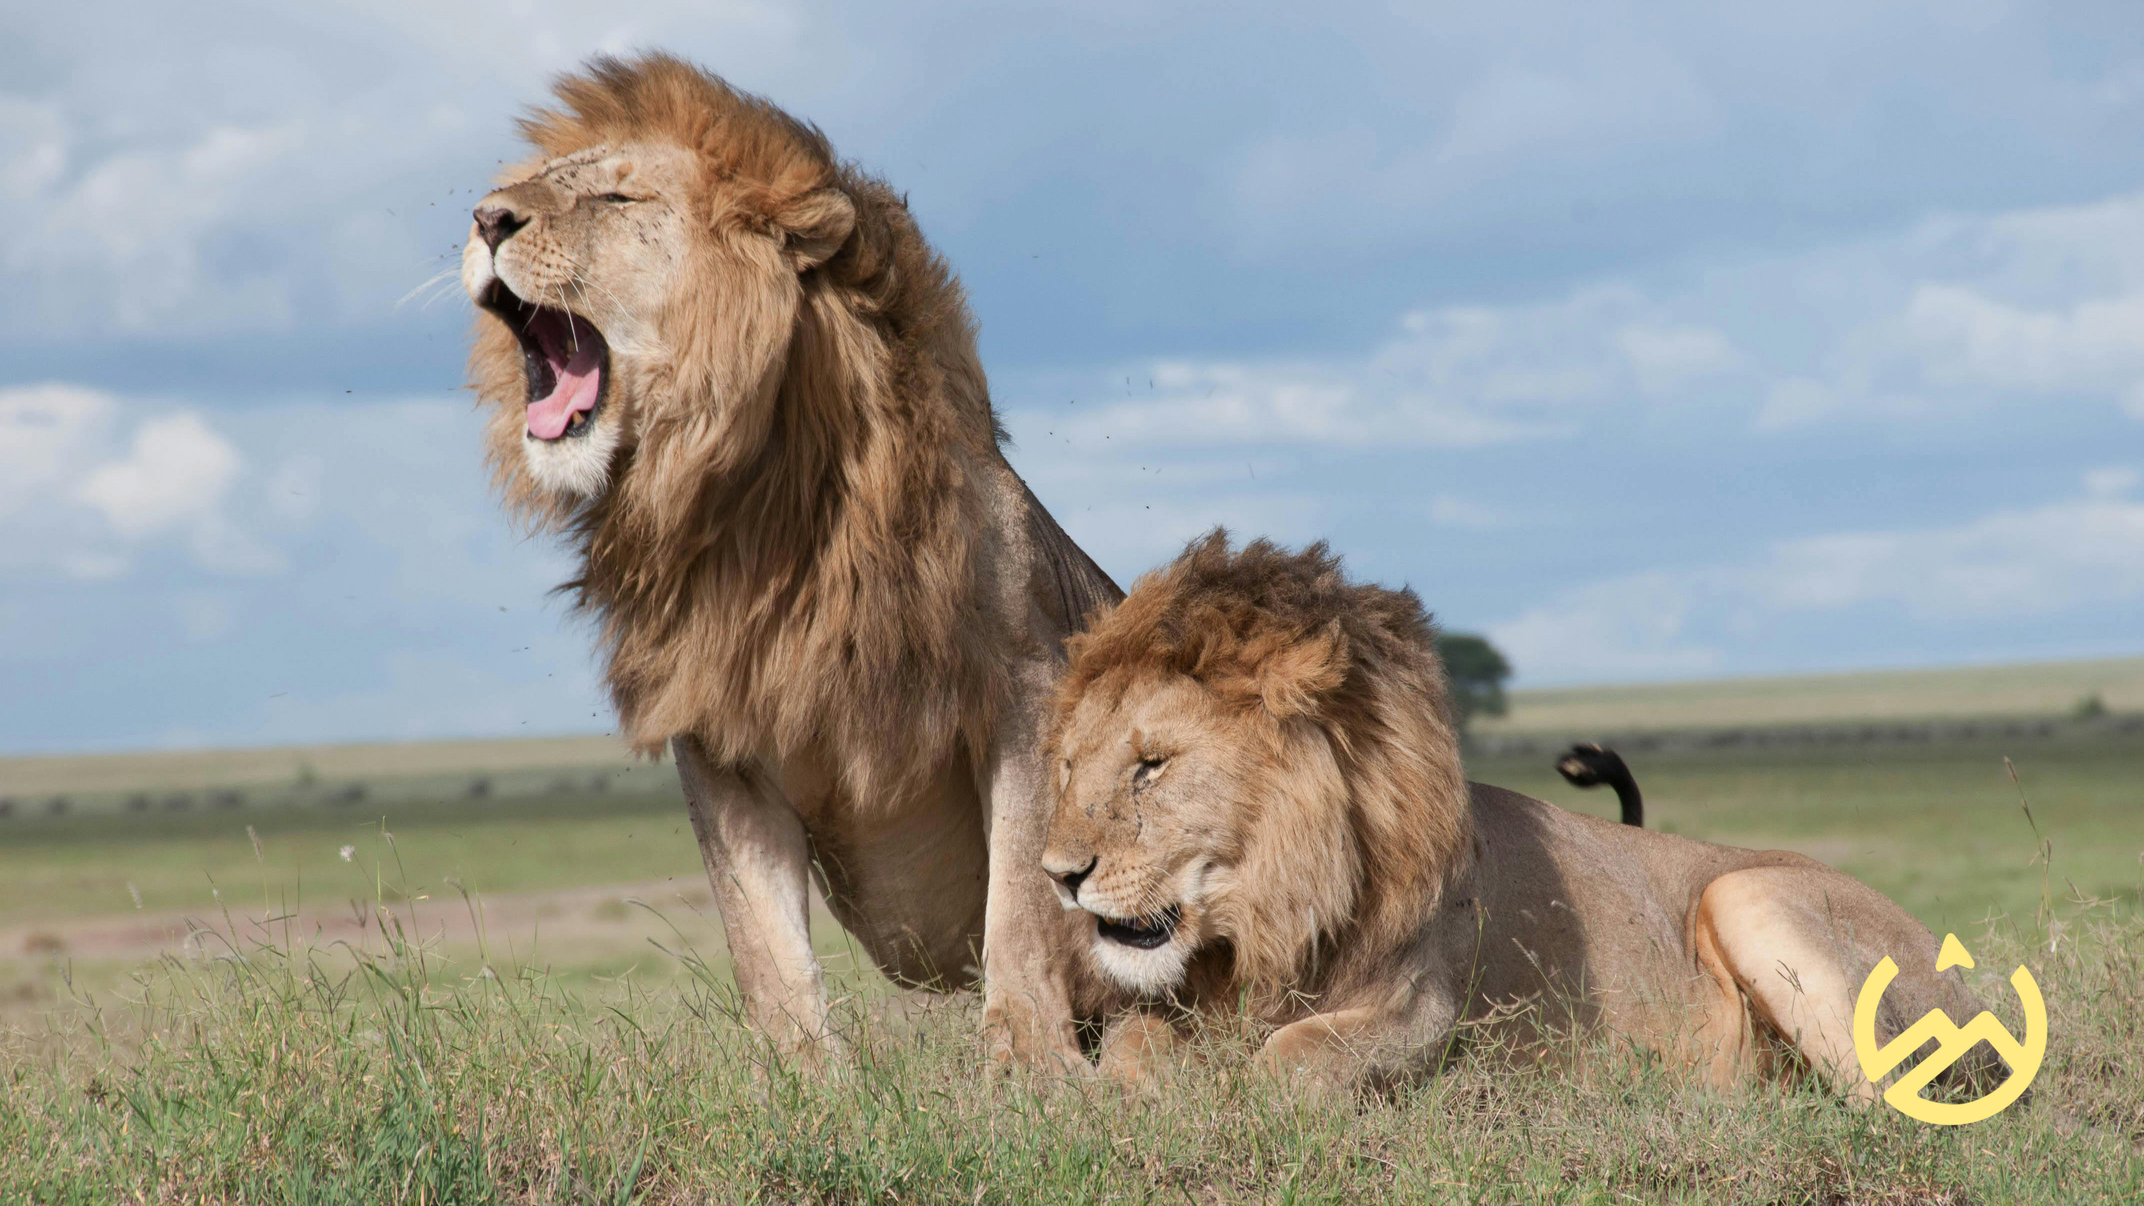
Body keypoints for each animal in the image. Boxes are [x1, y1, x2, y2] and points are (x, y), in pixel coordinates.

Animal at [461, 54, 1119, 1068]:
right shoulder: (717, 732)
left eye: (615, 196)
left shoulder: (1027, 687)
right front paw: (804, 1082)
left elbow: (1021, 906)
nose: (486, 218)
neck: (755, 509)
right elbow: (762, 940)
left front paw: (1029, 1069)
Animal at [1042, 532, 2003, 1096]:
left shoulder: (1425, 1011)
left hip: (1750, 893)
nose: (1057, 876)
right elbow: (1131, 1048)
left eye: (1152, 767)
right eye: (1068, 766)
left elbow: (1293, 1055)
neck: (1268, 916)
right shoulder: (1173, 1002)